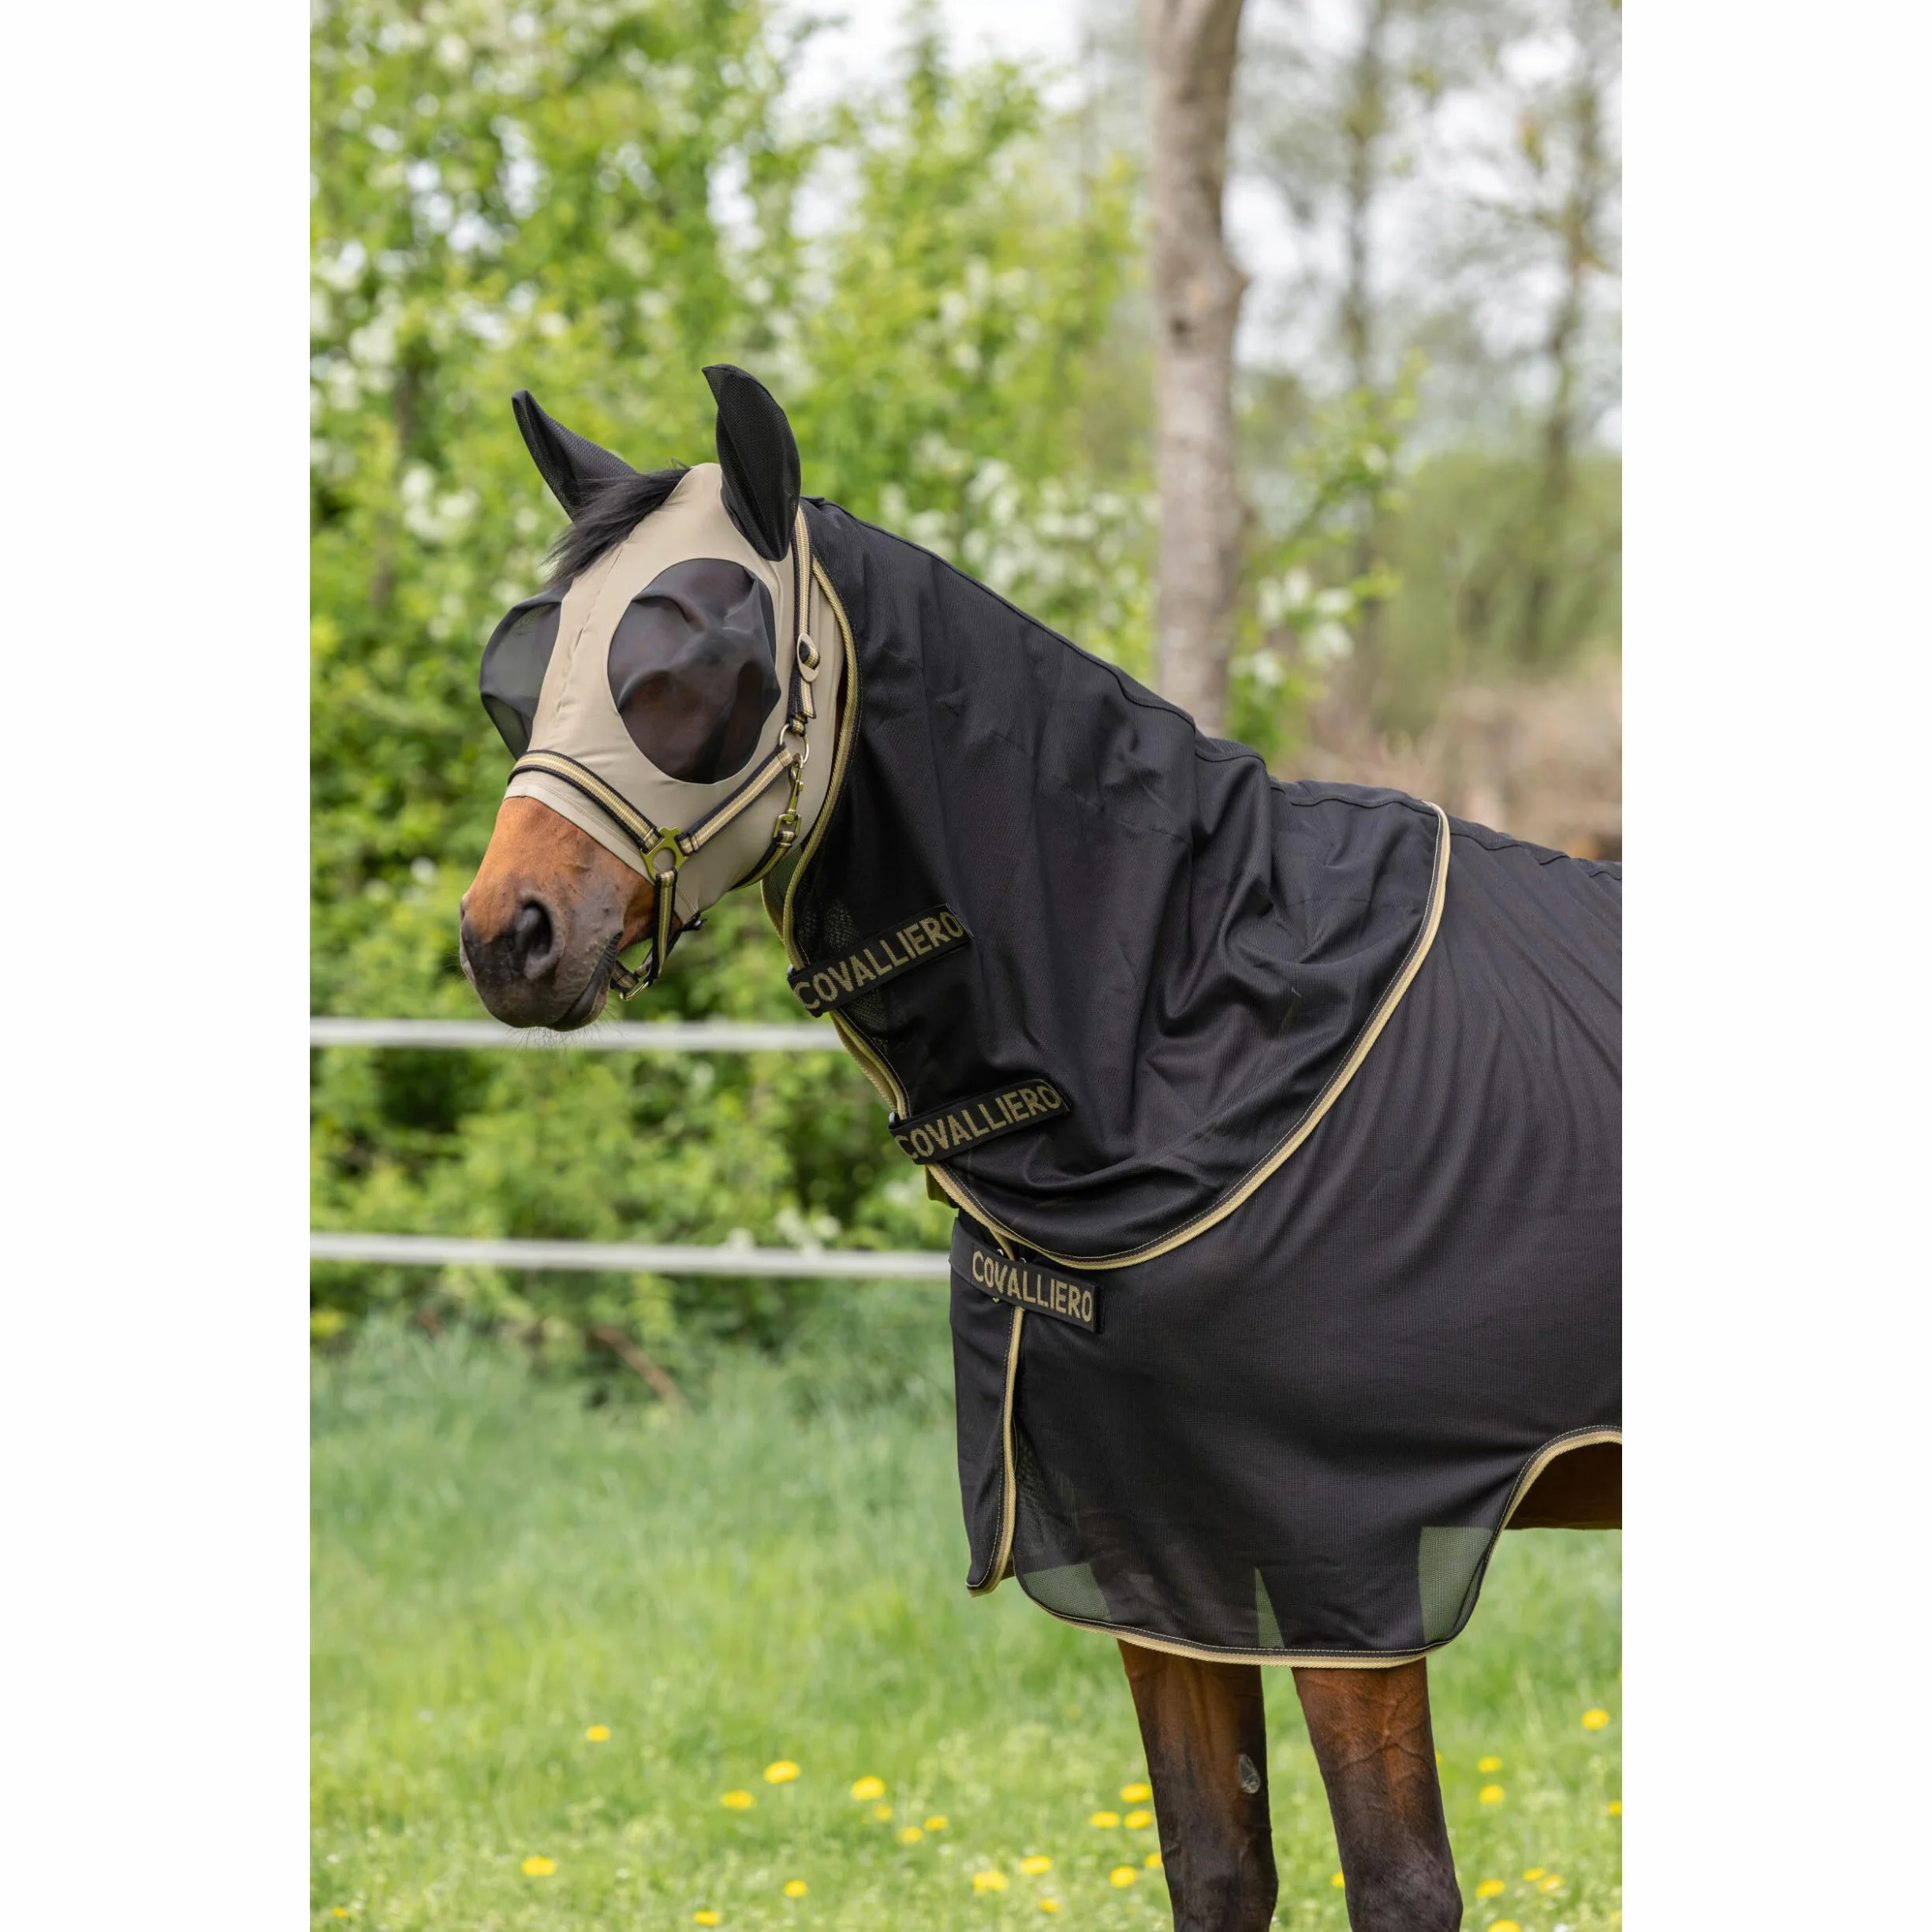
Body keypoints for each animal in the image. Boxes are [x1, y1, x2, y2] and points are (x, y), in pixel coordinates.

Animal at [458, 364, 1621, 1932]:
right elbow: (1215, 1866)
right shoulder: (1159, 1553)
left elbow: (1400, 1885)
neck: (1213, 1014)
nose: (506, 936)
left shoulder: (1348, 1569)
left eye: (689, 668)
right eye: (518, 673)